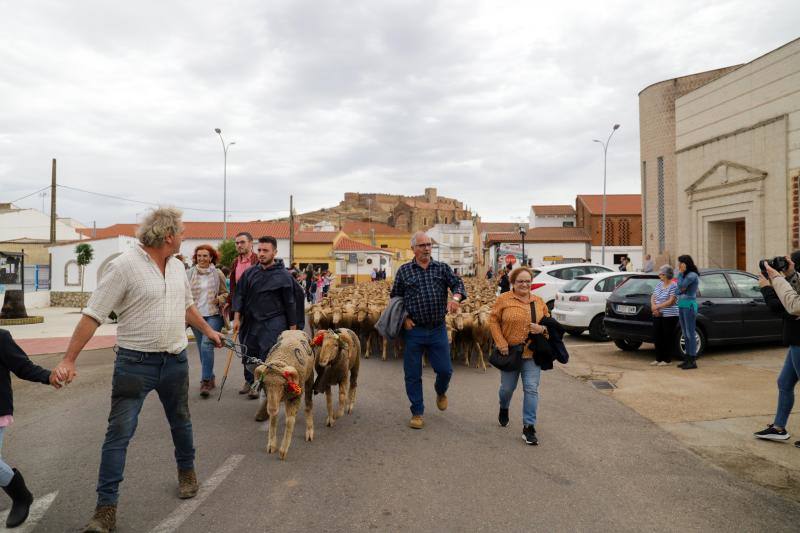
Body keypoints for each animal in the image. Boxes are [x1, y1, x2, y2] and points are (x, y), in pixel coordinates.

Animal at [253, 328, 316, 458]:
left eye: (282, 385)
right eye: (265, 384)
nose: (271, 409)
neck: (281, 359)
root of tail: (295, 330)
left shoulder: (295, 397)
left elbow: (290, 421)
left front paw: (283, 451)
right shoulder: (273, 399)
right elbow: (273, 420)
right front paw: (271, 445)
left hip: (309, 379)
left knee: (308, 404)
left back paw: (309, 431)